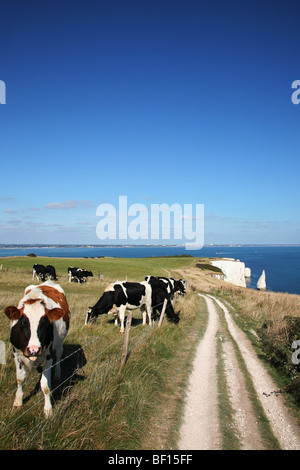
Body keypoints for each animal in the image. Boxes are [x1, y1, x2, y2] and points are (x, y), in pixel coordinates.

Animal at [3, 280, 70, 416]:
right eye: (23, 322)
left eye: (44, 323)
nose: (33, 350)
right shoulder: (16, 354)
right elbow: (20, 379)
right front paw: (17, 402)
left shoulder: (48, 357)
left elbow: (45, 386)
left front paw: (48, 409)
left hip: (59, 344)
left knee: (59, 355)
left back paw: (57, 374)